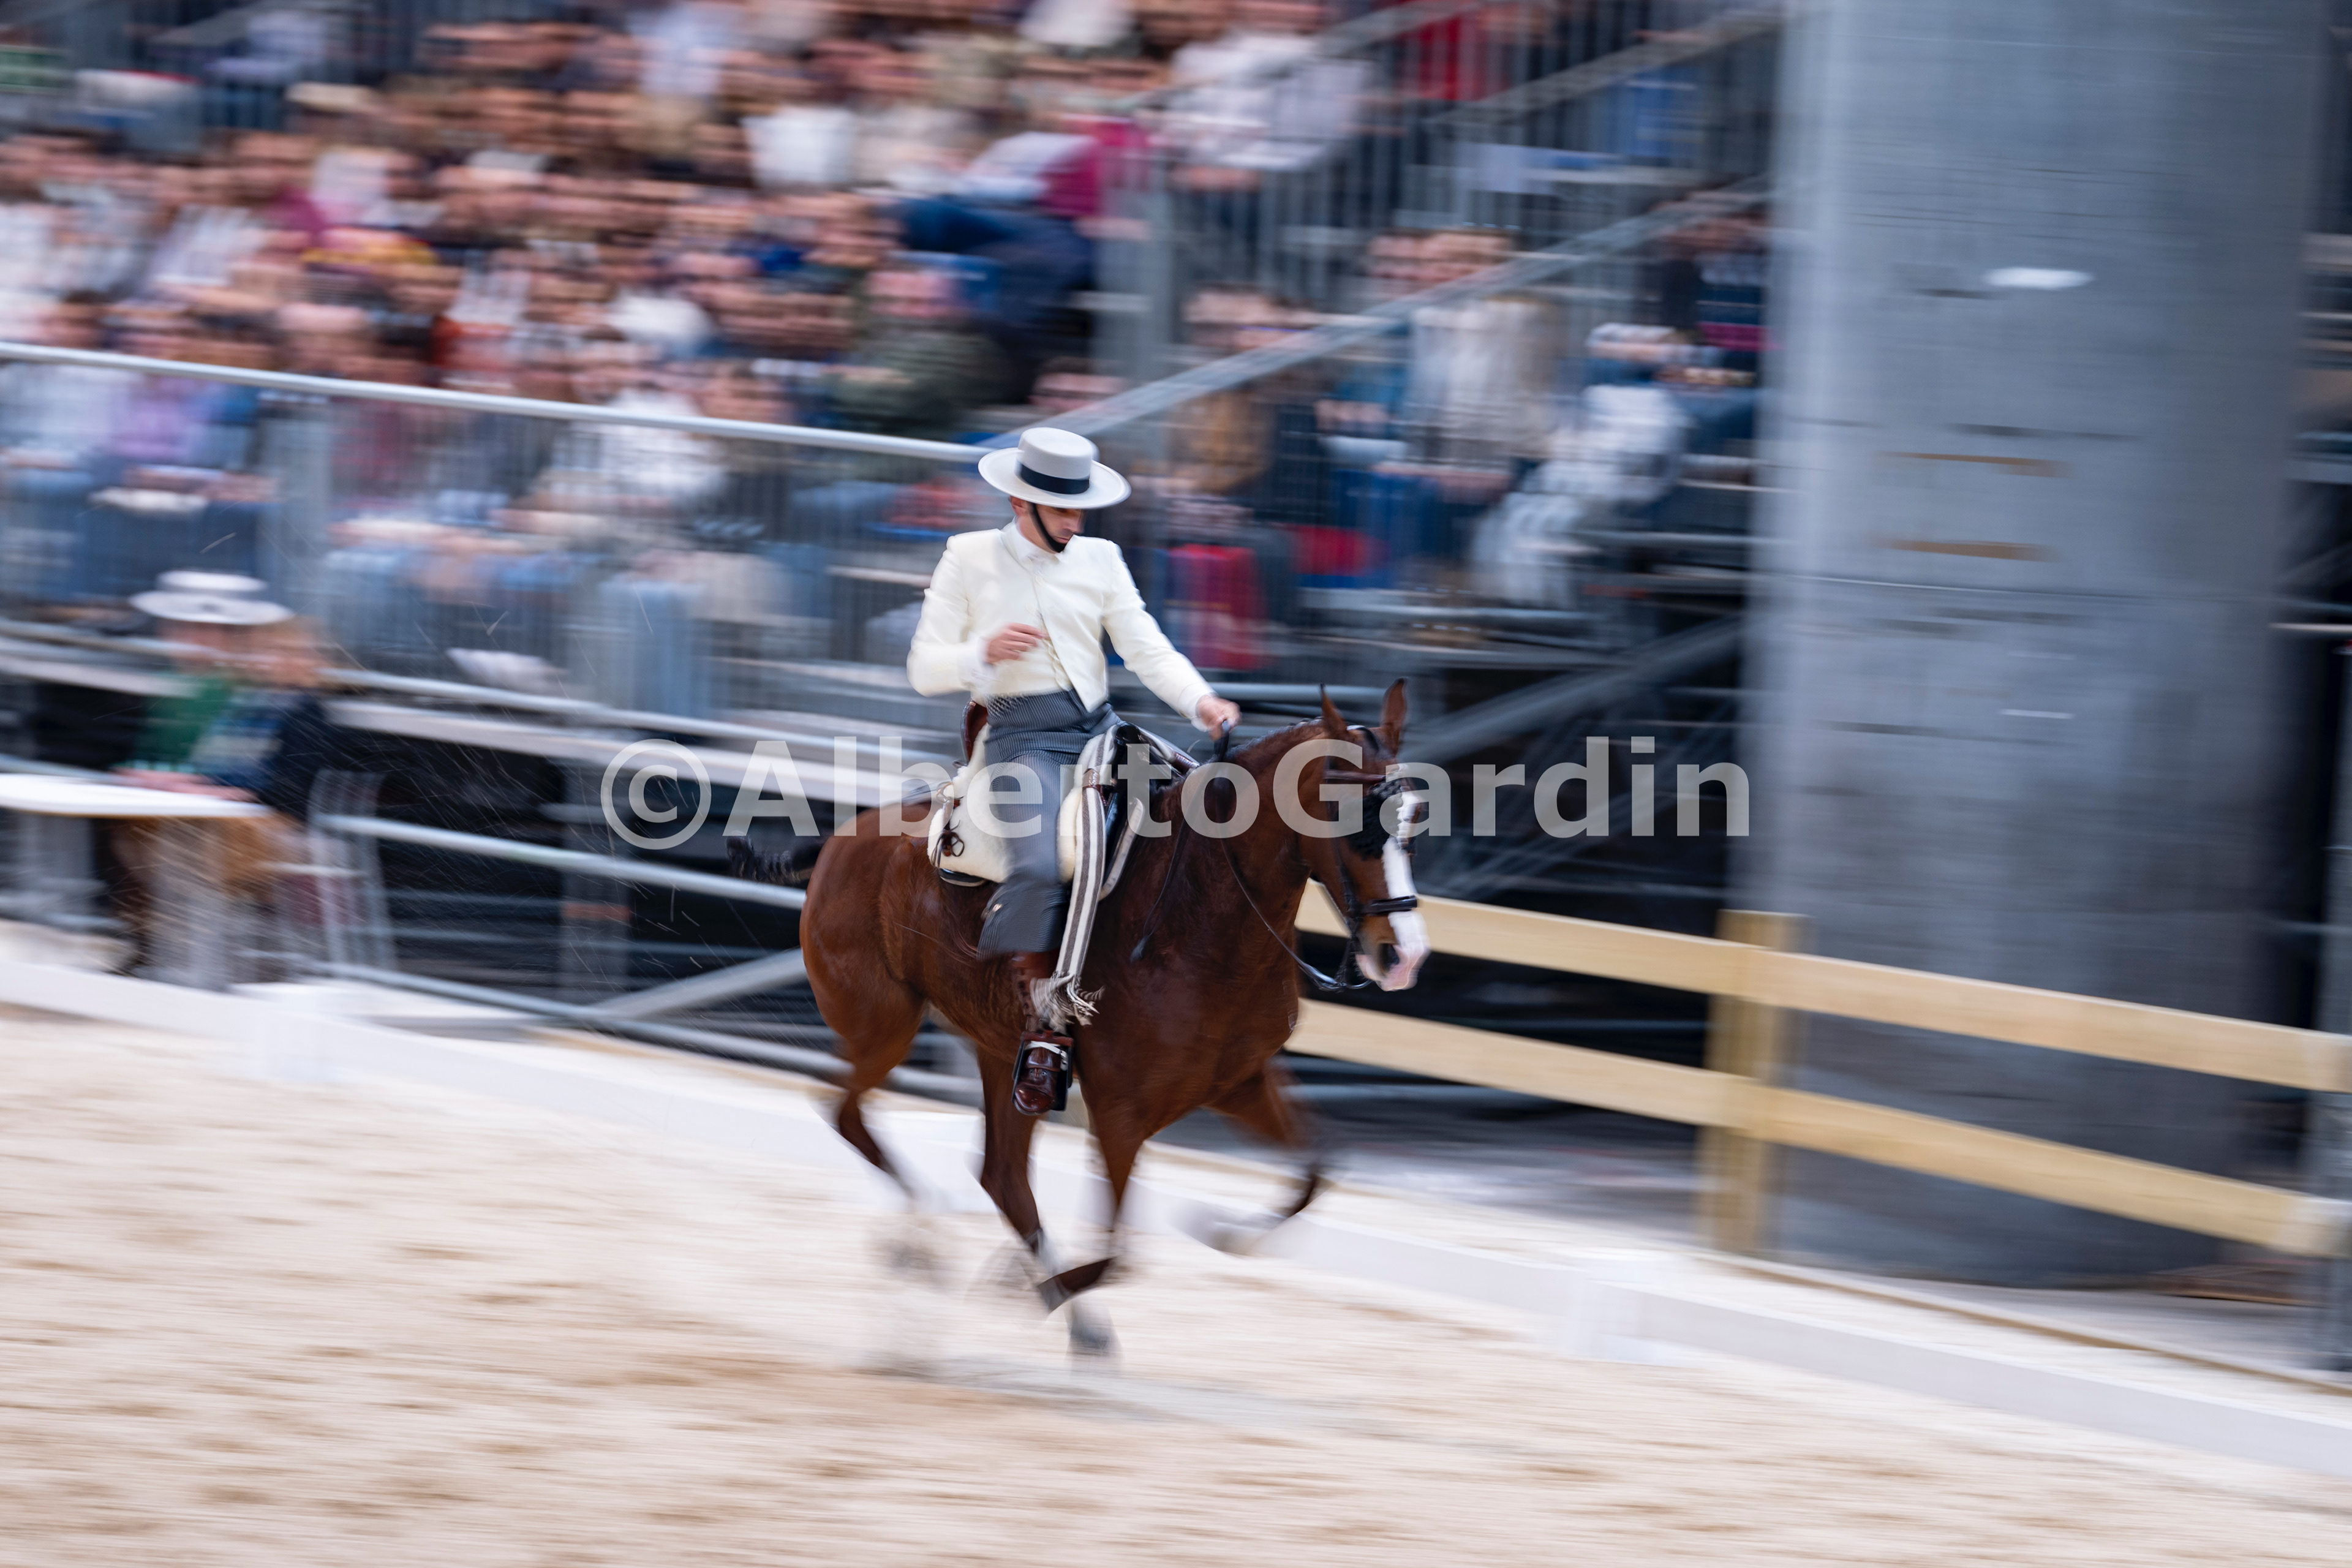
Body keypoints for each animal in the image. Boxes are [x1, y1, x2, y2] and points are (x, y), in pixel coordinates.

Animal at [752, 682, 1432, 1356]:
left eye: (1411, 825)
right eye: (1357, 824)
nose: (1403, 956)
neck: (1197, 912)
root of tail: (848, 836)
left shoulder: (1240, 1082)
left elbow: (1316, 1169)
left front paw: (1226, 1233)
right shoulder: (1120, 1111)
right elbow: (1121, 1253)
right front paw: (1028, 1290)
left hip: (1004, 1055)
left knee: (1001, 1175)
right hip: (883, 1028)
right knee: (849, 1112)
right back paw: (919, 1251)